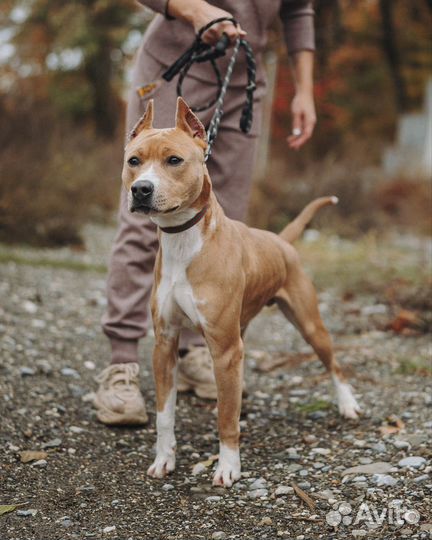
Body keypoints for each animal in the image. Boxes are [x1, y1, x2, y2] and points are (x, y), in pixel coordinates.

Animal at [122, 97, 362, 490]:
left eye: (174, 160)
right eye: (134, 161)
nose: (141, 189)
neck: (182, 240)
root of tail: (281, 240)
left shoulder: (224, 348)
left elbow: (225, 418)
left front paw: (228, 466)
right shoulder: (165, 345)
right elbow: (164, 414)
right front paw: (164, 460)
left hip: (309, 325)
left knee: (334, 364)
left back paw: (347, 404)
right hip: (241, 330)